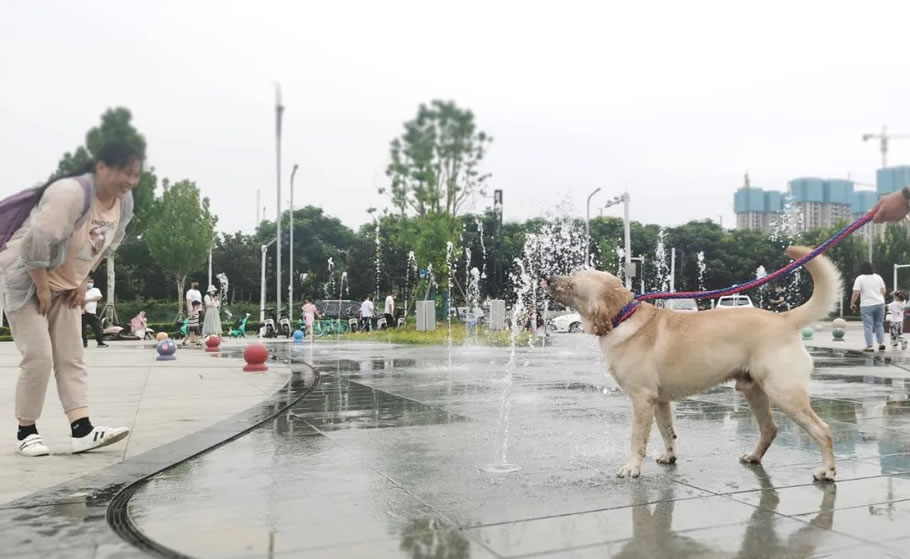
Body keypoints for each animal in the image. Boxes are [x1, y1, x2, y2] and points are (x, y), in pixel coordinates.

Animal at [548, 248, 840, 482]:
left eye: (572, 282)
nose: (547, 278)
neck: (622, 317)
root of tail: (785, 319)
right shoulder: (660, 401)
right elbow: (668, 432)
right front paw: (669, 457)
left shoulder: (642, 399)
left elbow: (637, 439)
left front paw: (632, 468)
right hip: (753, 390)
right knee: (770, 428)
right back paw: (754, 457)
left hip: (784, 393)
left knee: (823, 430)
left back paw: (827, 471)